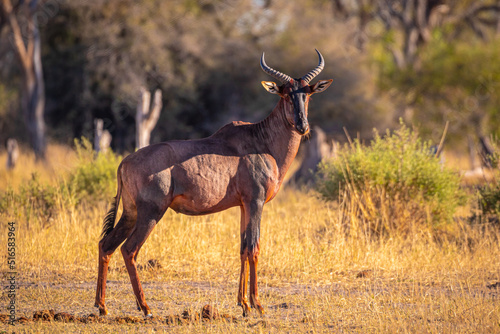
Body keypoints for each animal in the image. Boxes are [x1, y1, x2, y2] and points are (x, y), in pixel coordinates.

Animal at [95, 49, 334, 316]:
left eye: (307, 93)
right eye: (285, 94)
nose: (303, 127)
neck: (260, 140)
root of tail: (125, 161)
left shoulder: (243, 205)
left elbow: (242, 248)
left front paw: (243, 304)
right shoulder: (256, 202)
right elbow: (254, 247)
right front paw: (257, 305)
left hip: (130, 213)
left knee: (106, 244)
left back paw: (102, 306)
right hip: (151, 213)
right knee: (129, 250)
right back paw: (145, 307)